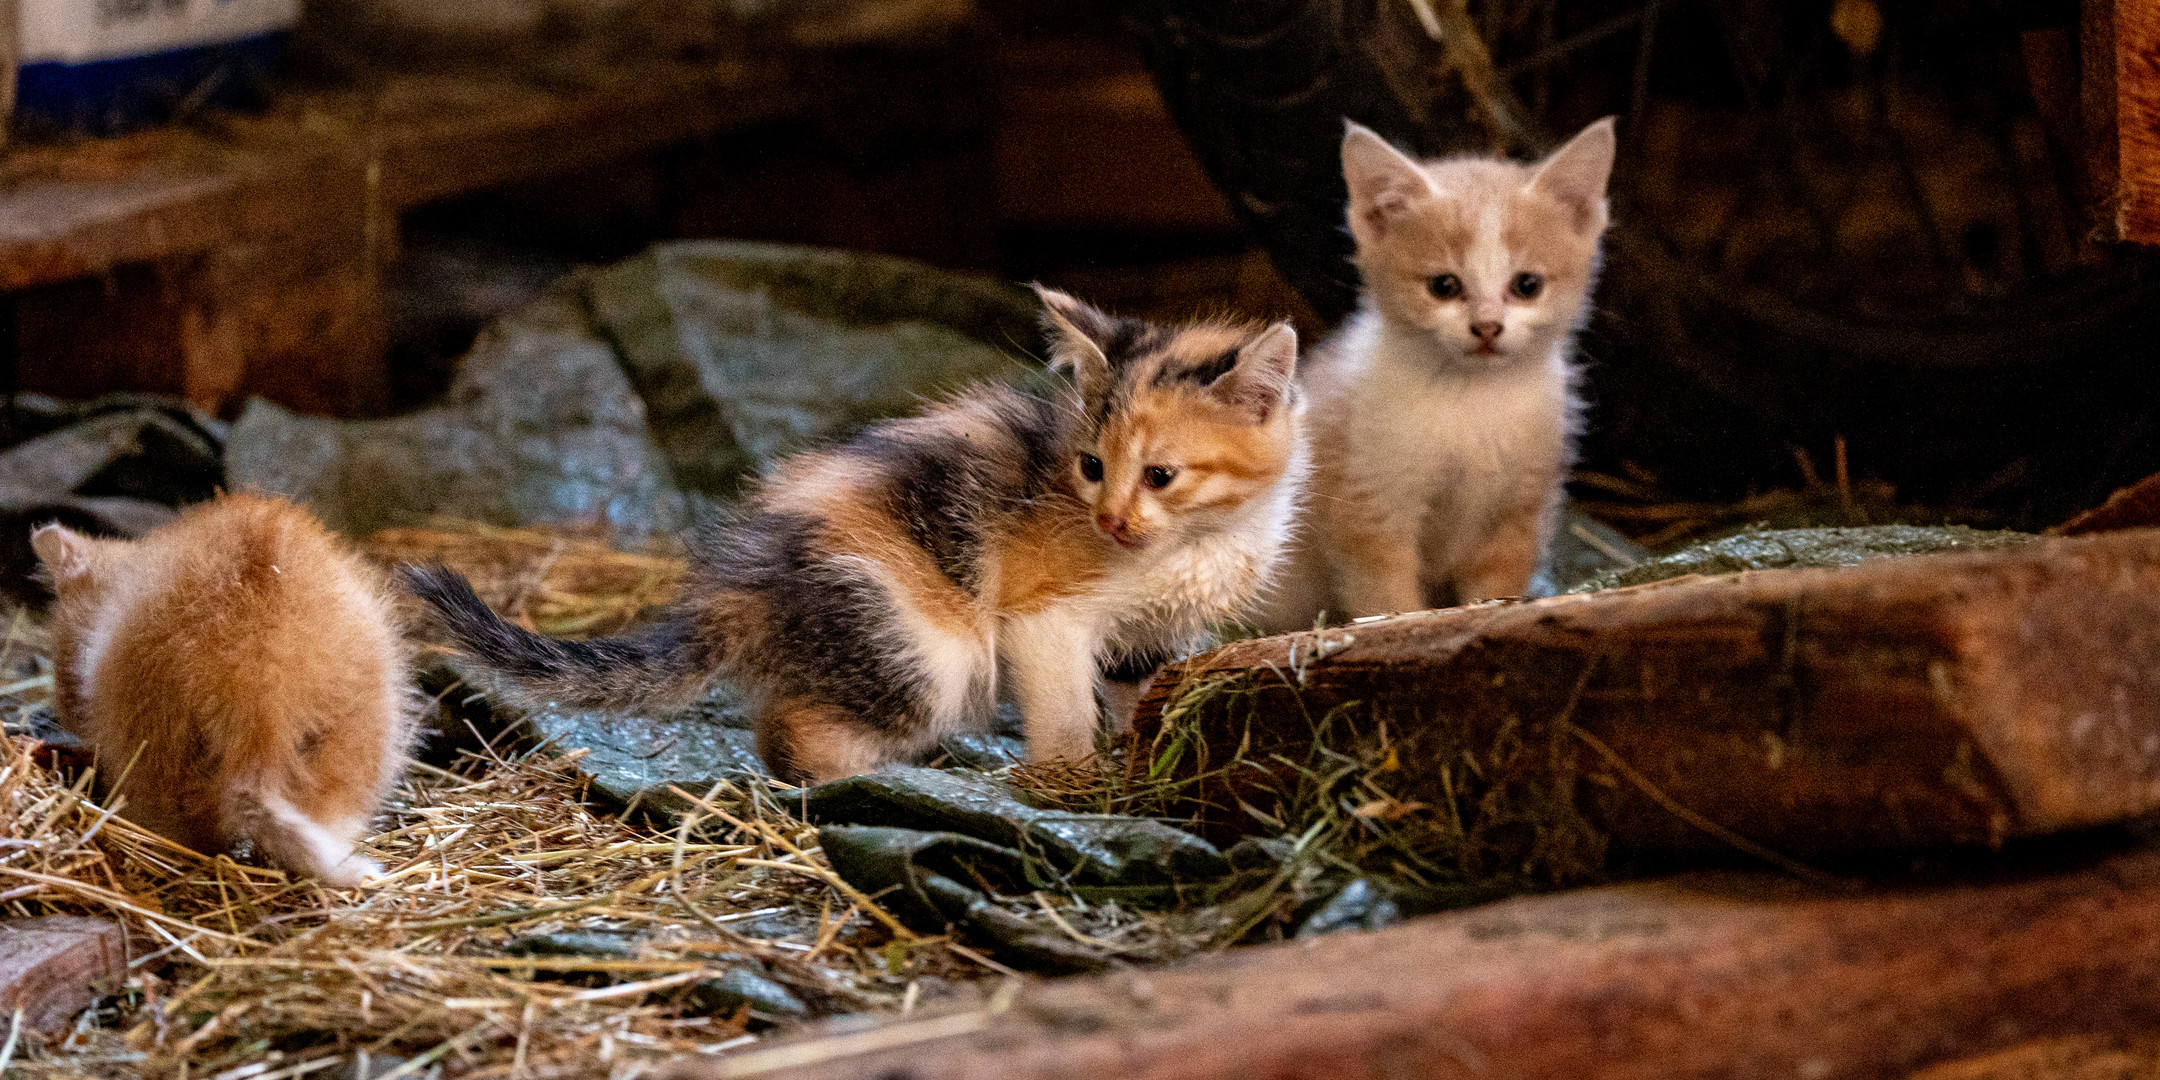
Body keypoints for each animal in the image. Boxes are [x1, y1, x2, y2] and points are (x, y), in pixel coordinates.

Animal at [410, 291, 1304, 781]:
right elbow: (1062, 714)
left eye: (1159, 475)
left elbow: (1136, 691)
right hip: (924, 642)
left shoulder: (1149, 634)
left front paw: (1142, 765)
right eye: (1089, 467)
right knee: (793, 734)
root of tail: (736, 583)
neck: (1206, 537)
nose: (1110, 519)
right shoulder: (1044, 618)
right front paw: (1069, 784)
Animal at [1261, 117, 1615, 630]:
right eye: (1443, 286)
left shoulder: (1518, 509)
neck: (1470, 399)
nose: (1487, 327)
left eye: (1527, 285)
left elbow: (1495, 587)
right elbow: (1388, 598)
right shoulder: (1368, 503)